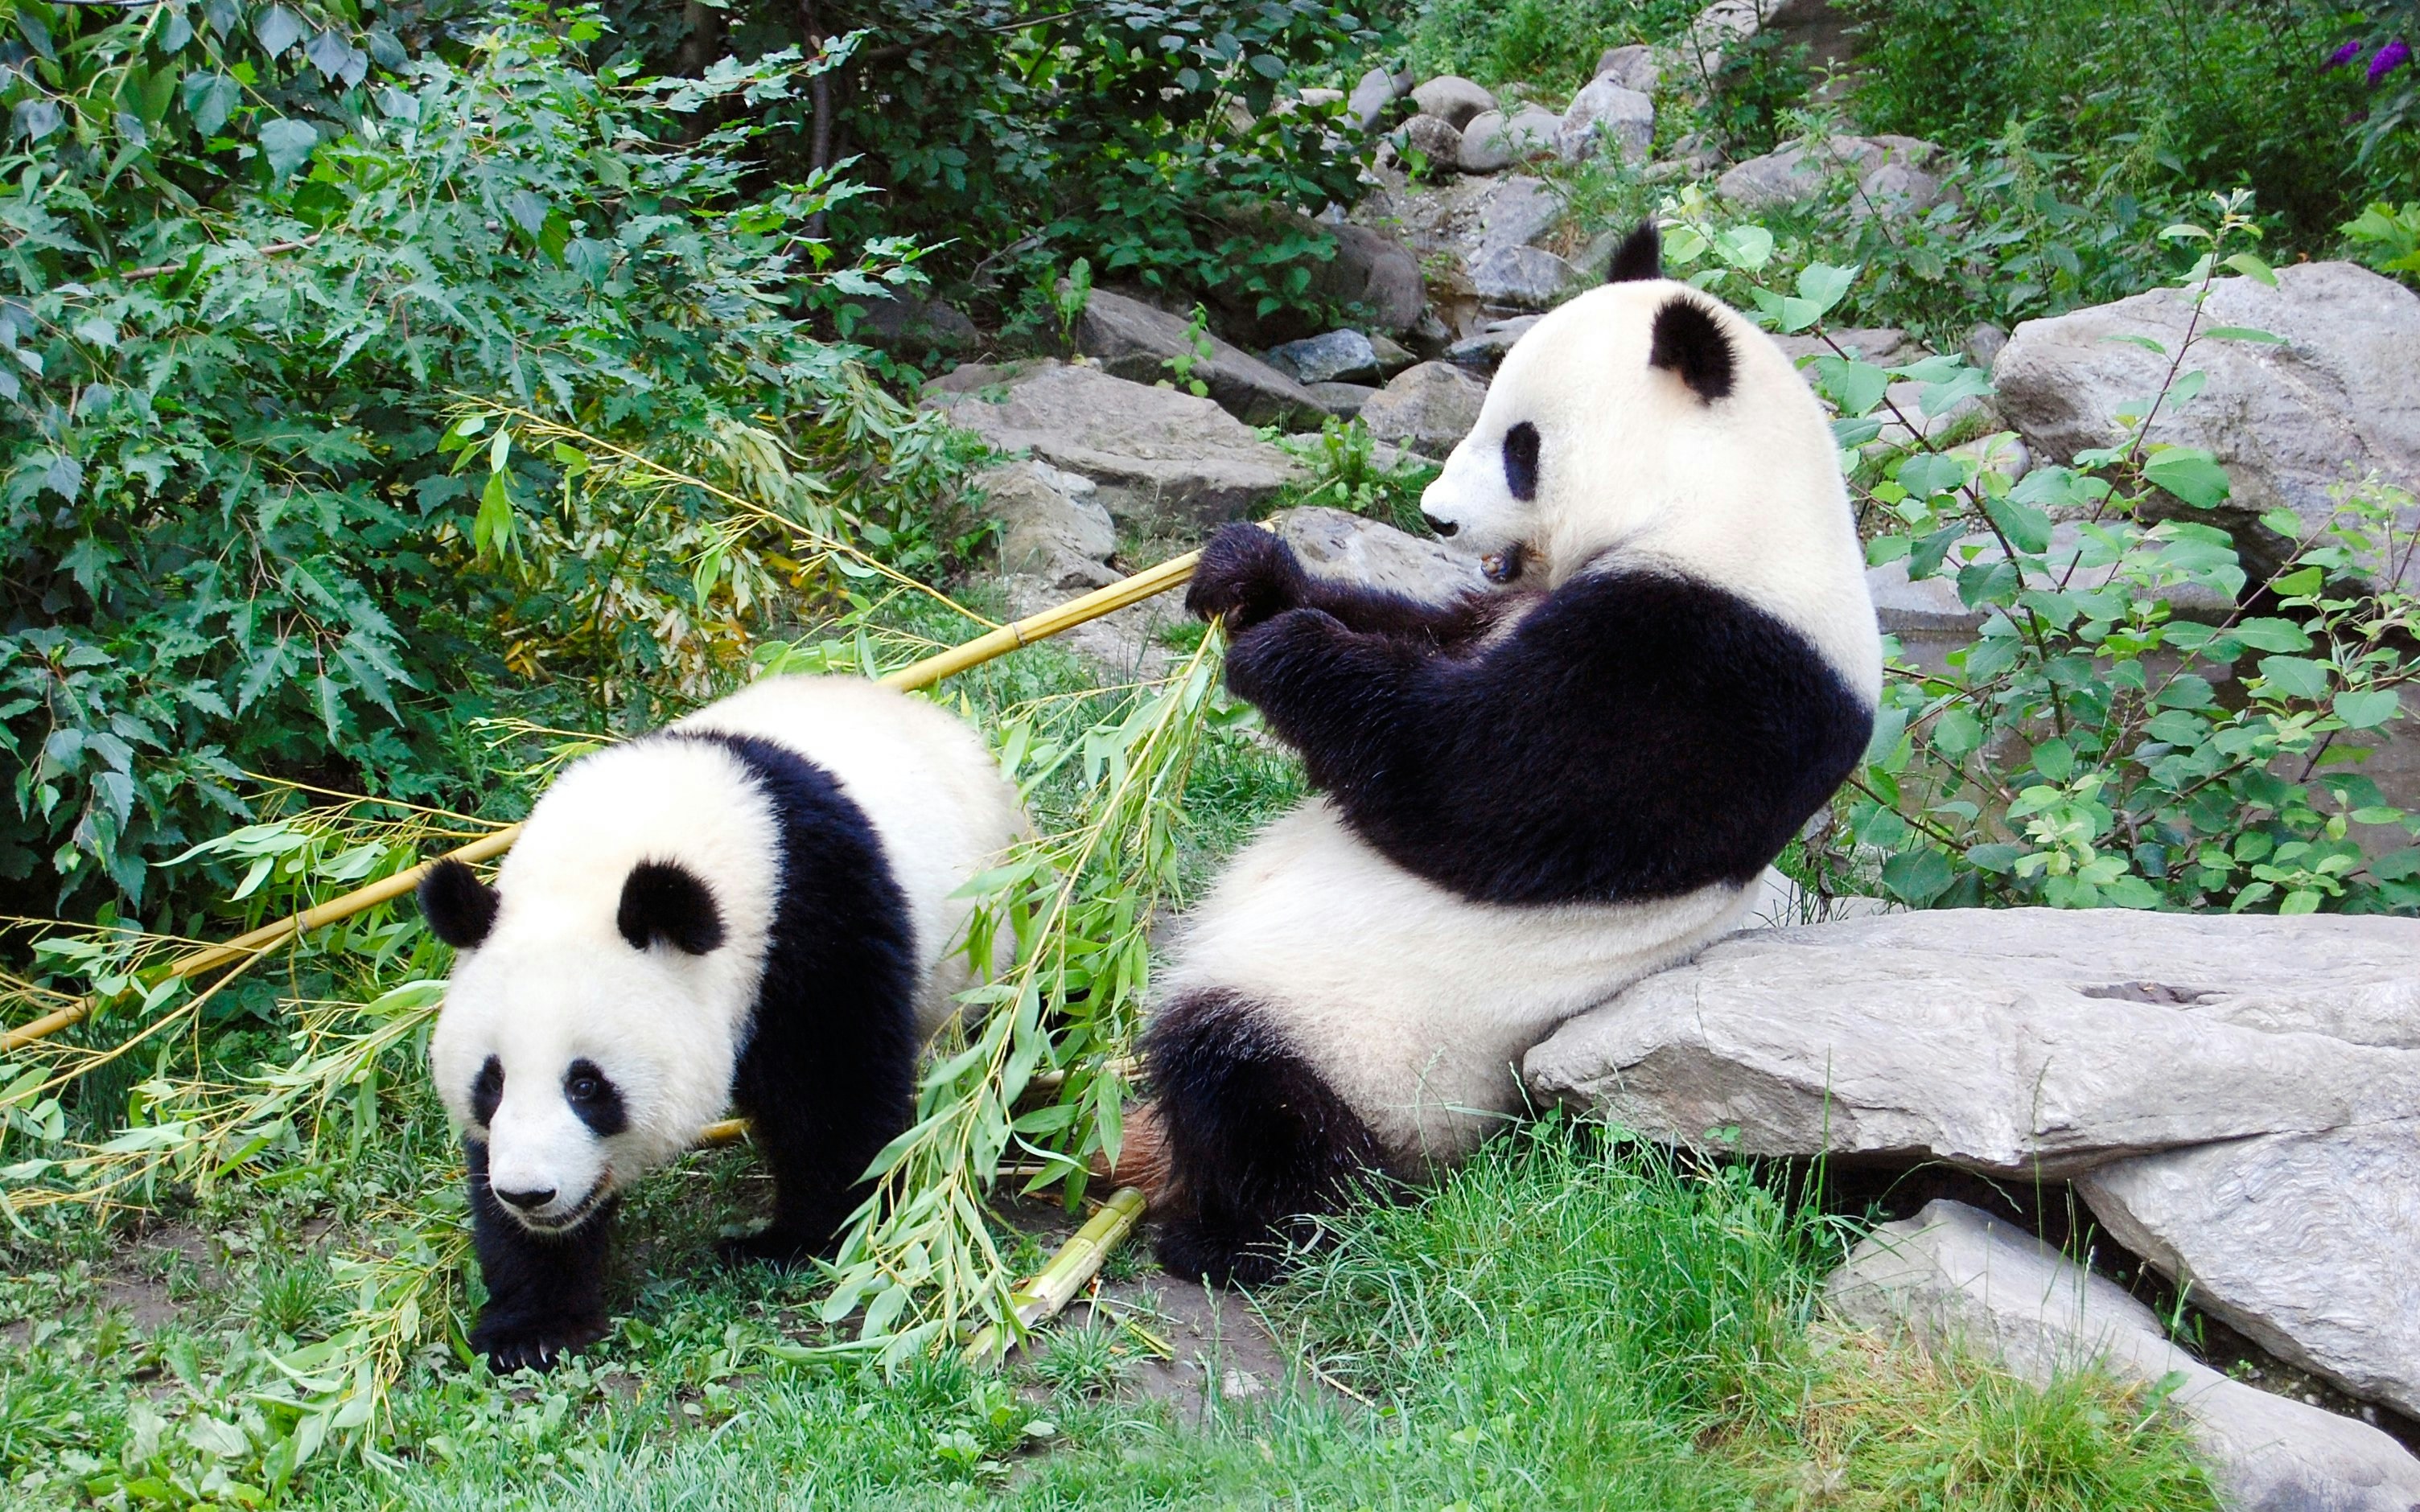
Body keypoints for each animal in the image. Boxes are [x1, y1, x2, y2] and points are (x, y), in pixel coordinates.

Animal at [418, 675, 1025, 1370]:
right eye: (490, 1083)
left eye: (587, 1085)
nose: (529, 1193)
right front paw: (533, 1324)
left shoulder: (811, 917)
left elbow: (833, 1084)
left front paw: (797, 1239)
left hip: (992, 934)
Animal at [1133, 223, 1883, 1285]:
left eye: (1520, 446)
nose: (1435, 516)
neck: (1724, 507)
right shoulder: (1511, 607)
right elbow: (1420, 633)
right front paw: (1246, 573)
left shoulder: (1720, 664)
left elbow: (1475, 784)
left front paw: (1280, 648)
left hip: (1380, 1045)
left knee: (1249, 1085)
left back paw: (1228, 1231)